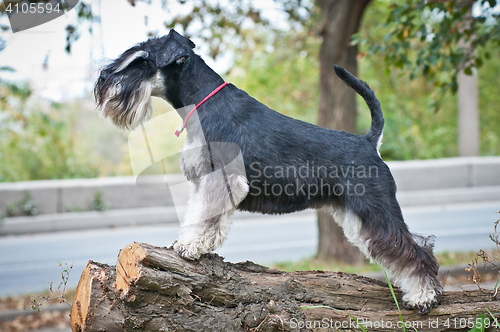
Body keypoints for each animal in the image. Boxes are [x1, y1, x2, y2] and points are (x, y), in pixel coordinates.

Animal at [95, 29, 444, 314]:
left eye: (142, 61)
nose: (102, 81)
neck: (202, 103)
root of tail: (369, 142)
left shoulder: (221, 178)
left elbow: (206, 217)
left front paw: (191, 247)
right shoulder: (204, 180)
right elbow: (198, 213)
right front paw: (187, 242)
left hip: (375, 209)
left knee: (415, 250)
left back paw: (424, 297)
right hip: (358, 215)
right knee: (414, 244)